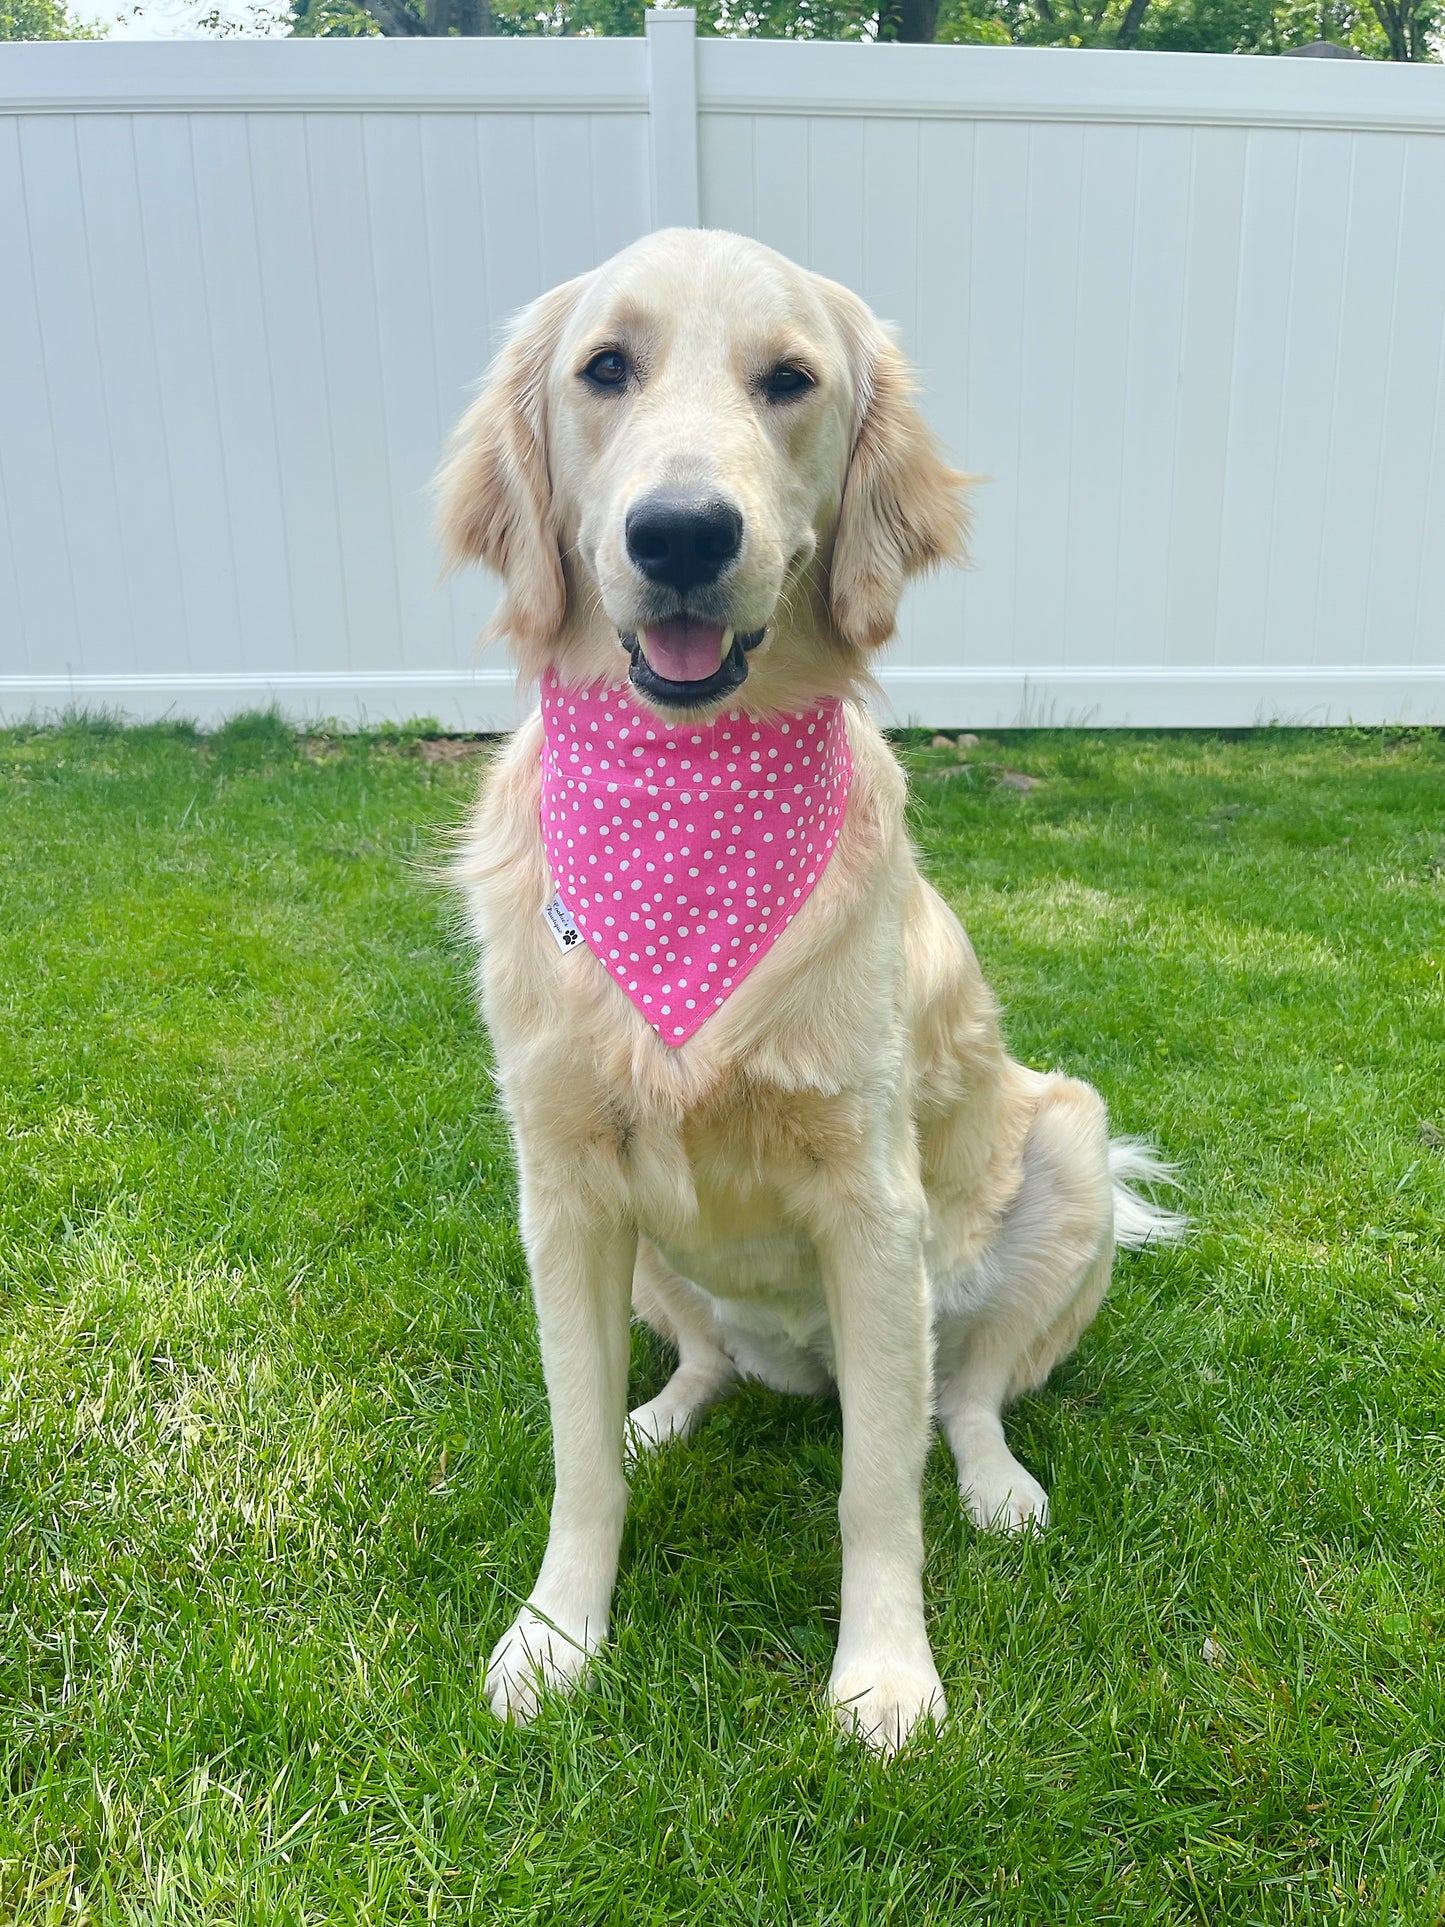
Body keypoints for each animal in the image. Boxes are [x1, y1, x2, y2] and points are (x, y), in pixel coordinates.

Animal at [441, 229, 1186, 1765]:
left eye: (788, 380)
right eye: (606, 368)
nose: (680, 534)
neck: (688, 796)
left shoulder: (870, 1201)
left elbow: (874, 1488)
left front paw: (885, 1672)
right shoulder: (561, 1180)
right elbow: (576, 1456)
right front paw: (557, 1633)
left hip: (1066, 1152)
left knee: (959, 1397)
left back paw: (1000, 1485)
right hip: (656, 1262)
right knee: (707, 1364)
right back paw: (668, 1407)